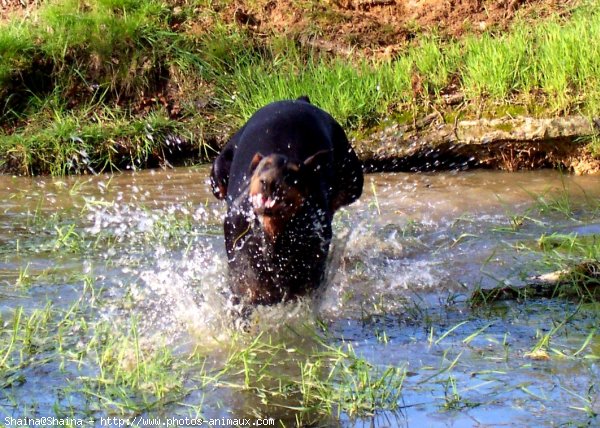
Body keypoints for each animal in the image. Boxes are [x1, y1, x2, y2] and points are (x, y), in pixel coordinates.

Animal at [209, 95, 364, 306]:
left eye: (292, 175)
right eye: (263, 167)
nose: (268, 182)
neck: (273, 231)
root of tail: (298, 100)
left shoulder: (307, 289)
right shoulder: (243, 288)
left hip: (353, 179)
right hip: (217, 176)